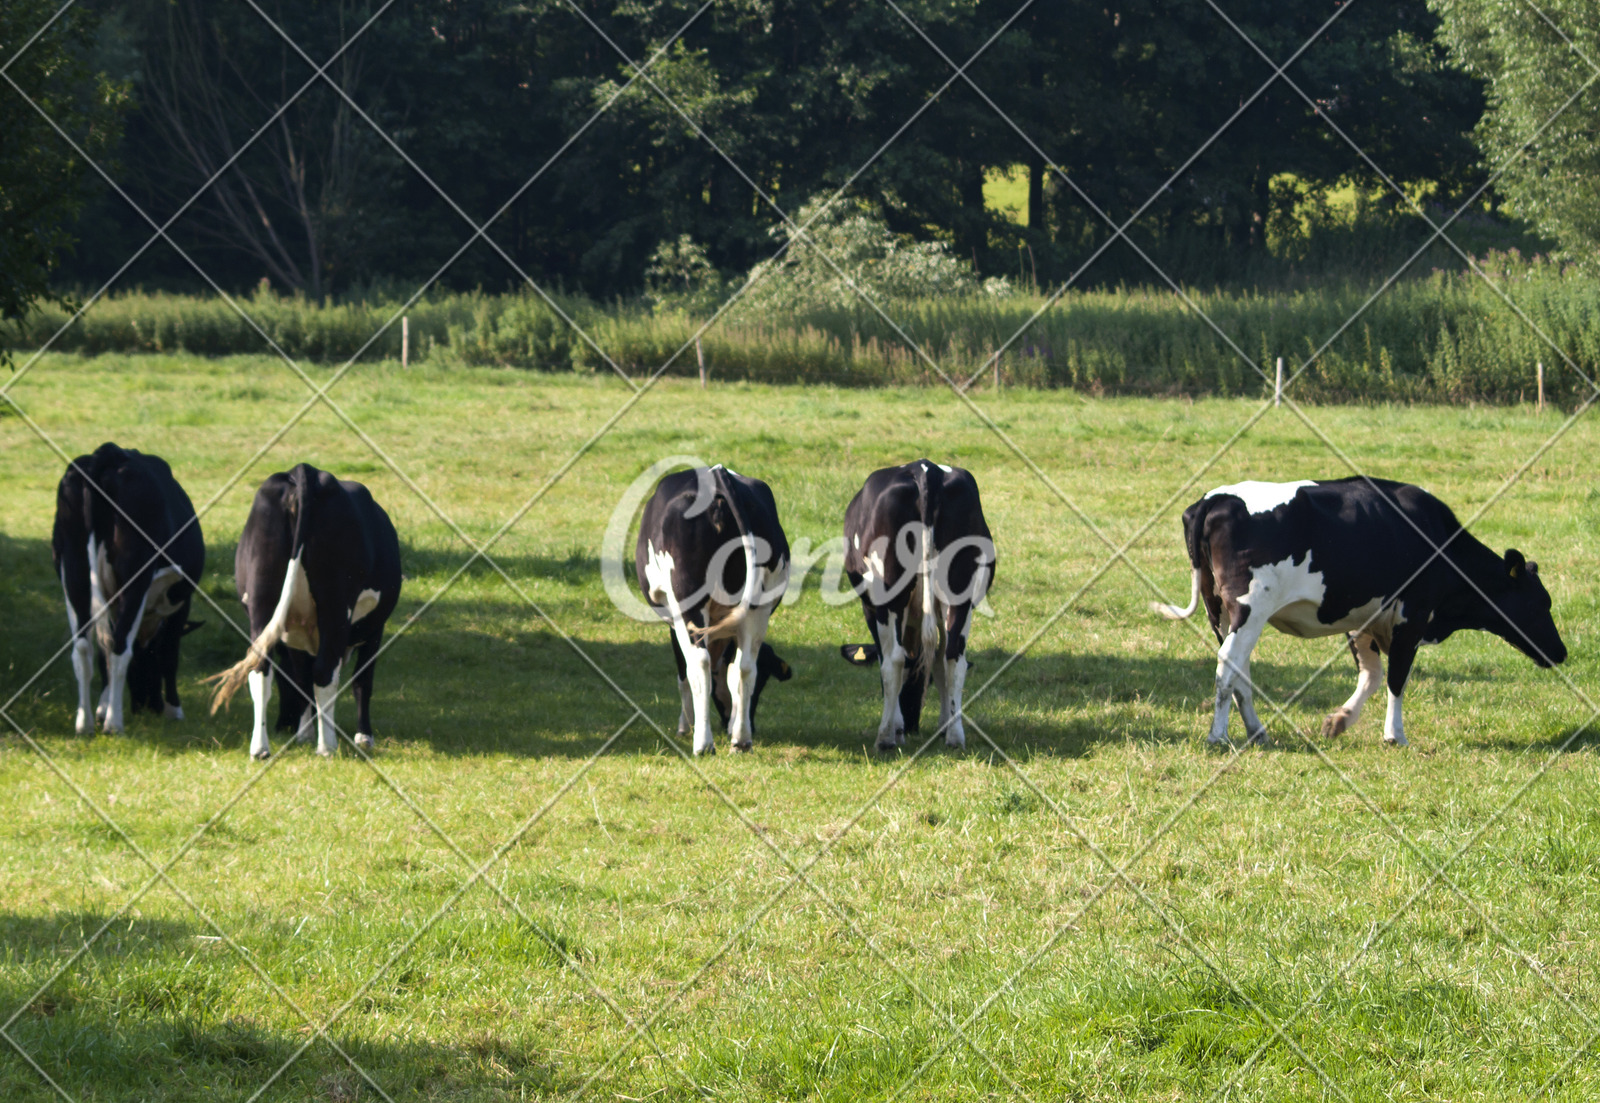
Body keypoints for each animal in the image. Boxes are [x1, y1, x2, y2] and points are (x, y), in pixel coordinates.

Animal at [52, 441, 204, 736]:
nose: (147, 706)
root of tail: (108, 453)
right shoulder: (181, 601)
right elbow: (170, 654)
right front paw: (174, 710)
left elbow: (103, 652)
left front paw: (102, 706)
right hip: (135, 576)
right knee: (120, 645)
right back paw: (114, 723)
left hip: (72, 571)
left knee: (84, 647)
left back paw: (85, 723)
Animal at [204, 461, 400, 755]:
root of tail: (305, 470)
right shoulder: (375, 629)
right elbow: (361, 681)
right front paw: (364, 737)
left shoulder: (294, 632)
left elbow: (300, 680)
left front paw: (303, 733)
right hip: (335, 603)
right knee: (324, 671)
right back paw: (327, 747)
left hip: (262, 602)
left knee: (260, 669)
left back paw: (260, 748)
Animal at [633, 464, 790, 755]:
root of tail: (718, 474)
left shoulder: (674, 622)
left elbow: (684, 674)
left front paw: (684, 726)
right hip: (758, 607)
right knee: (745, 666)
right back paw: (741, 739)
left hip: (688, 602)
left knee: (700, 663)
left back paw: (703, 743)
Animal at [844, 461, 992, 752]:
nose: (913, 725)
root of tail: (926, 469)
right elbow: (938, 664)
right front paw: (943, 724)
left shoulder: (870, 610)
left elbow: (888, 664)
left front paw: (897, 727)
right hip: (959, 596)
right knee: (953, 658)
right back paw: (955, 736)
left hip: (888, 596)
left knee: (894, 659)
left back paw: (885, 737)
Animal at [1158, 473, 1568, 749]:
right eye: (1540, 602)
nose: (1561, 652)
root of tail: (1214, 499)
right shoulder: (1411, 617)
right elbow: (1396, 679)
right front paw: (1394, 734)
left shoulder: (1364, 619)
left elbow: (1371, 676)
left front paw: (1339, 721)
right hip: (1250, 609)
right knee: (1229, 665)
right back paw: (1218, 734)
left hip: (1220, 612)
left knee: (1238, 668)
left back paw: (1257, 730)